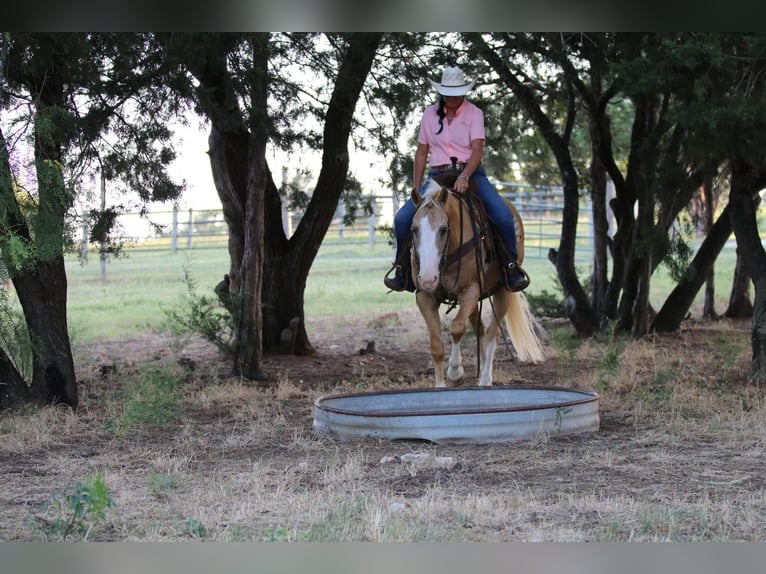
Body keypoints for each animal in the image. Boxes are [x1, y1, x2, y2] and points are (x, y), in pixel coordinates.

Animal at [412, 176, 548, 390]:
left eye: (443, 229)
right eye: (414, 229)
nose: (427, 278)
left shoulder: (470, 291)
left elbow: (457, 327)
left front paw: (456, 372)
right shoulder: (425, 297)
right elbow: (436, 345)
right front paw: (440, 386)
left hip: (503, 292)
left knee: (493, 333)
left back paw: (485, 379)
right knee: (481, 330)